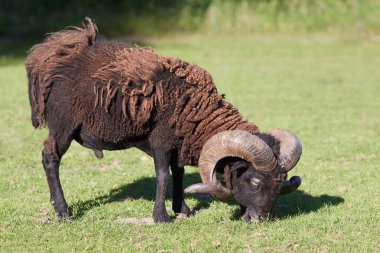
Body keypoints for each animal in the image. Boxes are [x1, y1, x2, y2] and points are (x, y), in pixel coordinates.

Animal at [26, 17, 302, 222]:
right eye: (255, 181)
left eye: (281, 183)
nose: (260, 219)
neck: (197, 110)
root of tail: (48, 55)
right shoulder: (160, 140)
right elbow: (162, 176)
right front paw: (161, 216)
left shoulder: (179, 144)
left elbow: (177, 173)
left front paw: (184, 210)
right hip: (63, 126)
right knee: (50, 157)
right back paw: (63, 211)